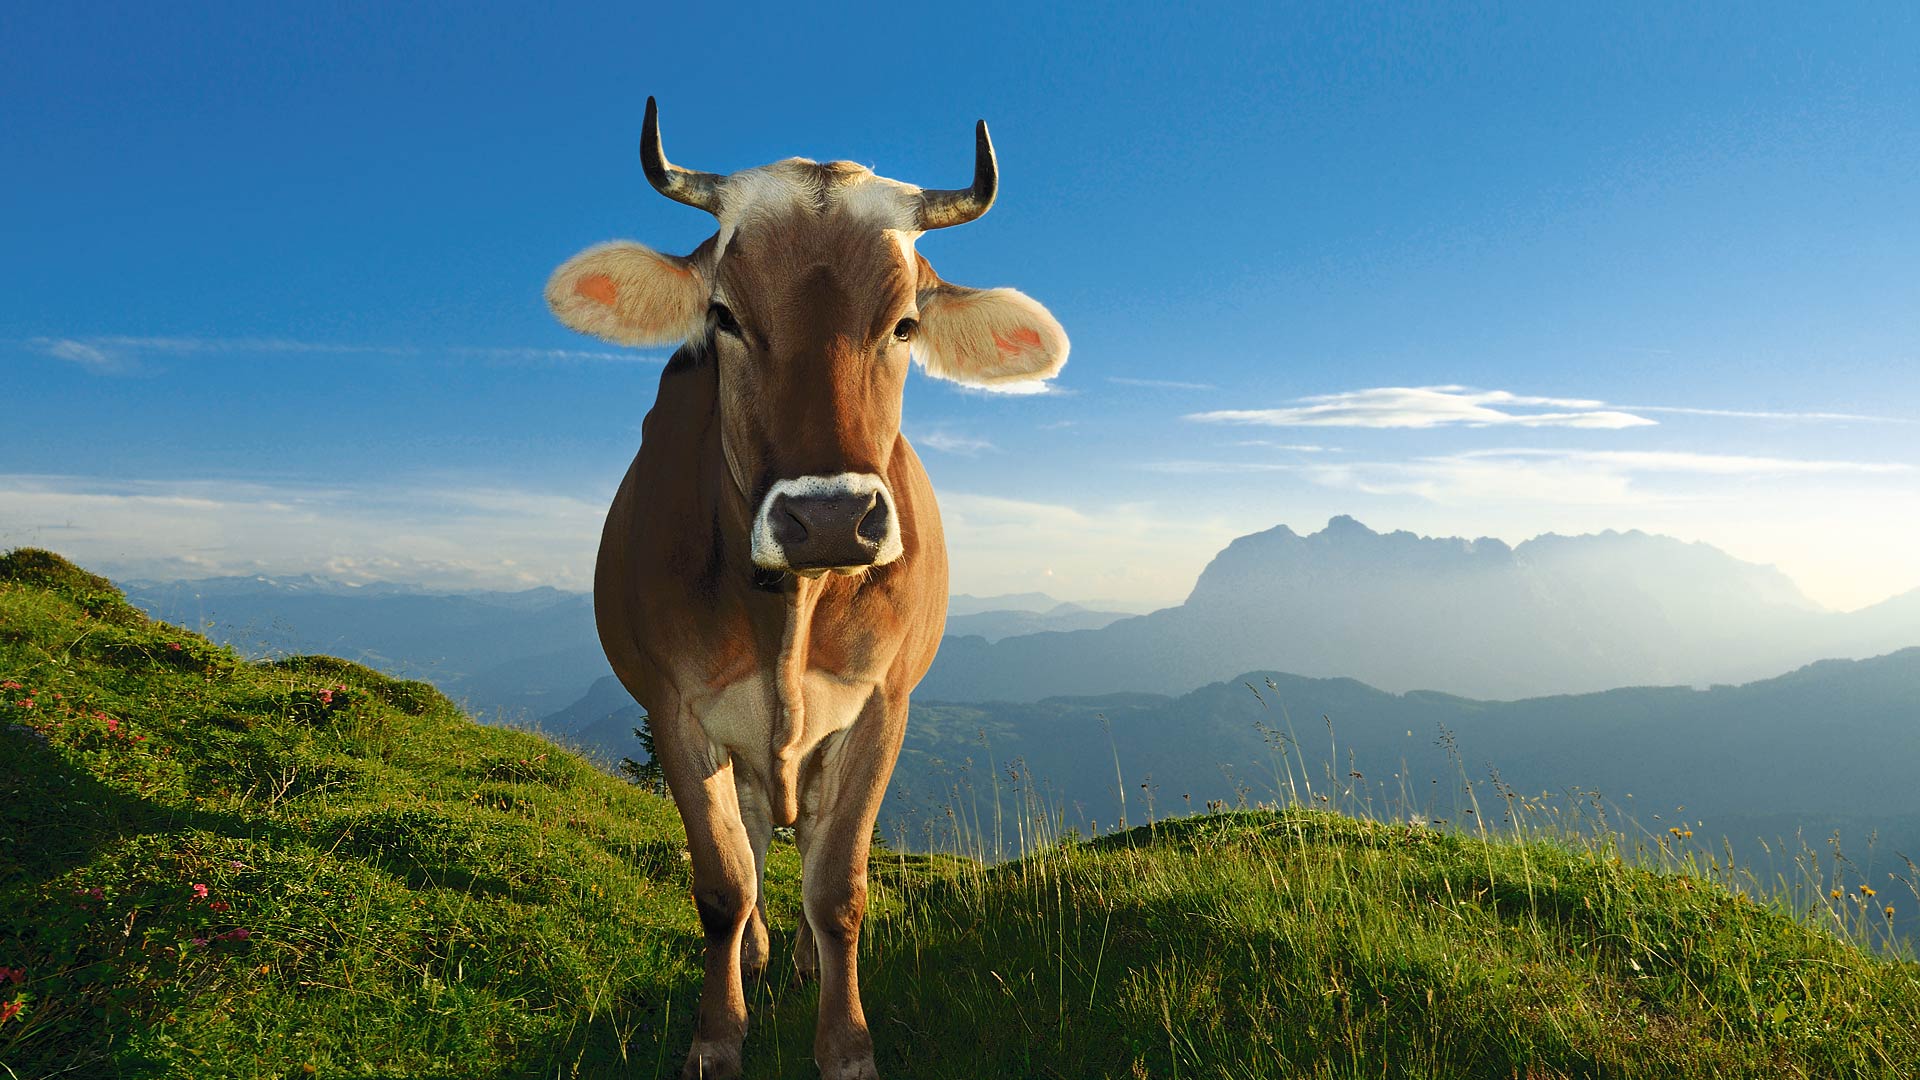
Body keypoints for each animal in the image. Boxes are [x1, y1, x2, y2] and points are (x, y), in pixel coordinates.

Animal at [549, 100, 1075, 1076]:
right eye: (723, 315)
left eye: (903, 324)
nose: (830, 518)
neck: (789, 611)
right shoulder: (675, 709)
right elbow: (722, 882)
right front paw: (718, 1036)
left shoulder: (882, 705)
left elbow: (839, 888)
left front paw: (847, 1043)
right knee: (757, 836)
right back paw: (757, 954)